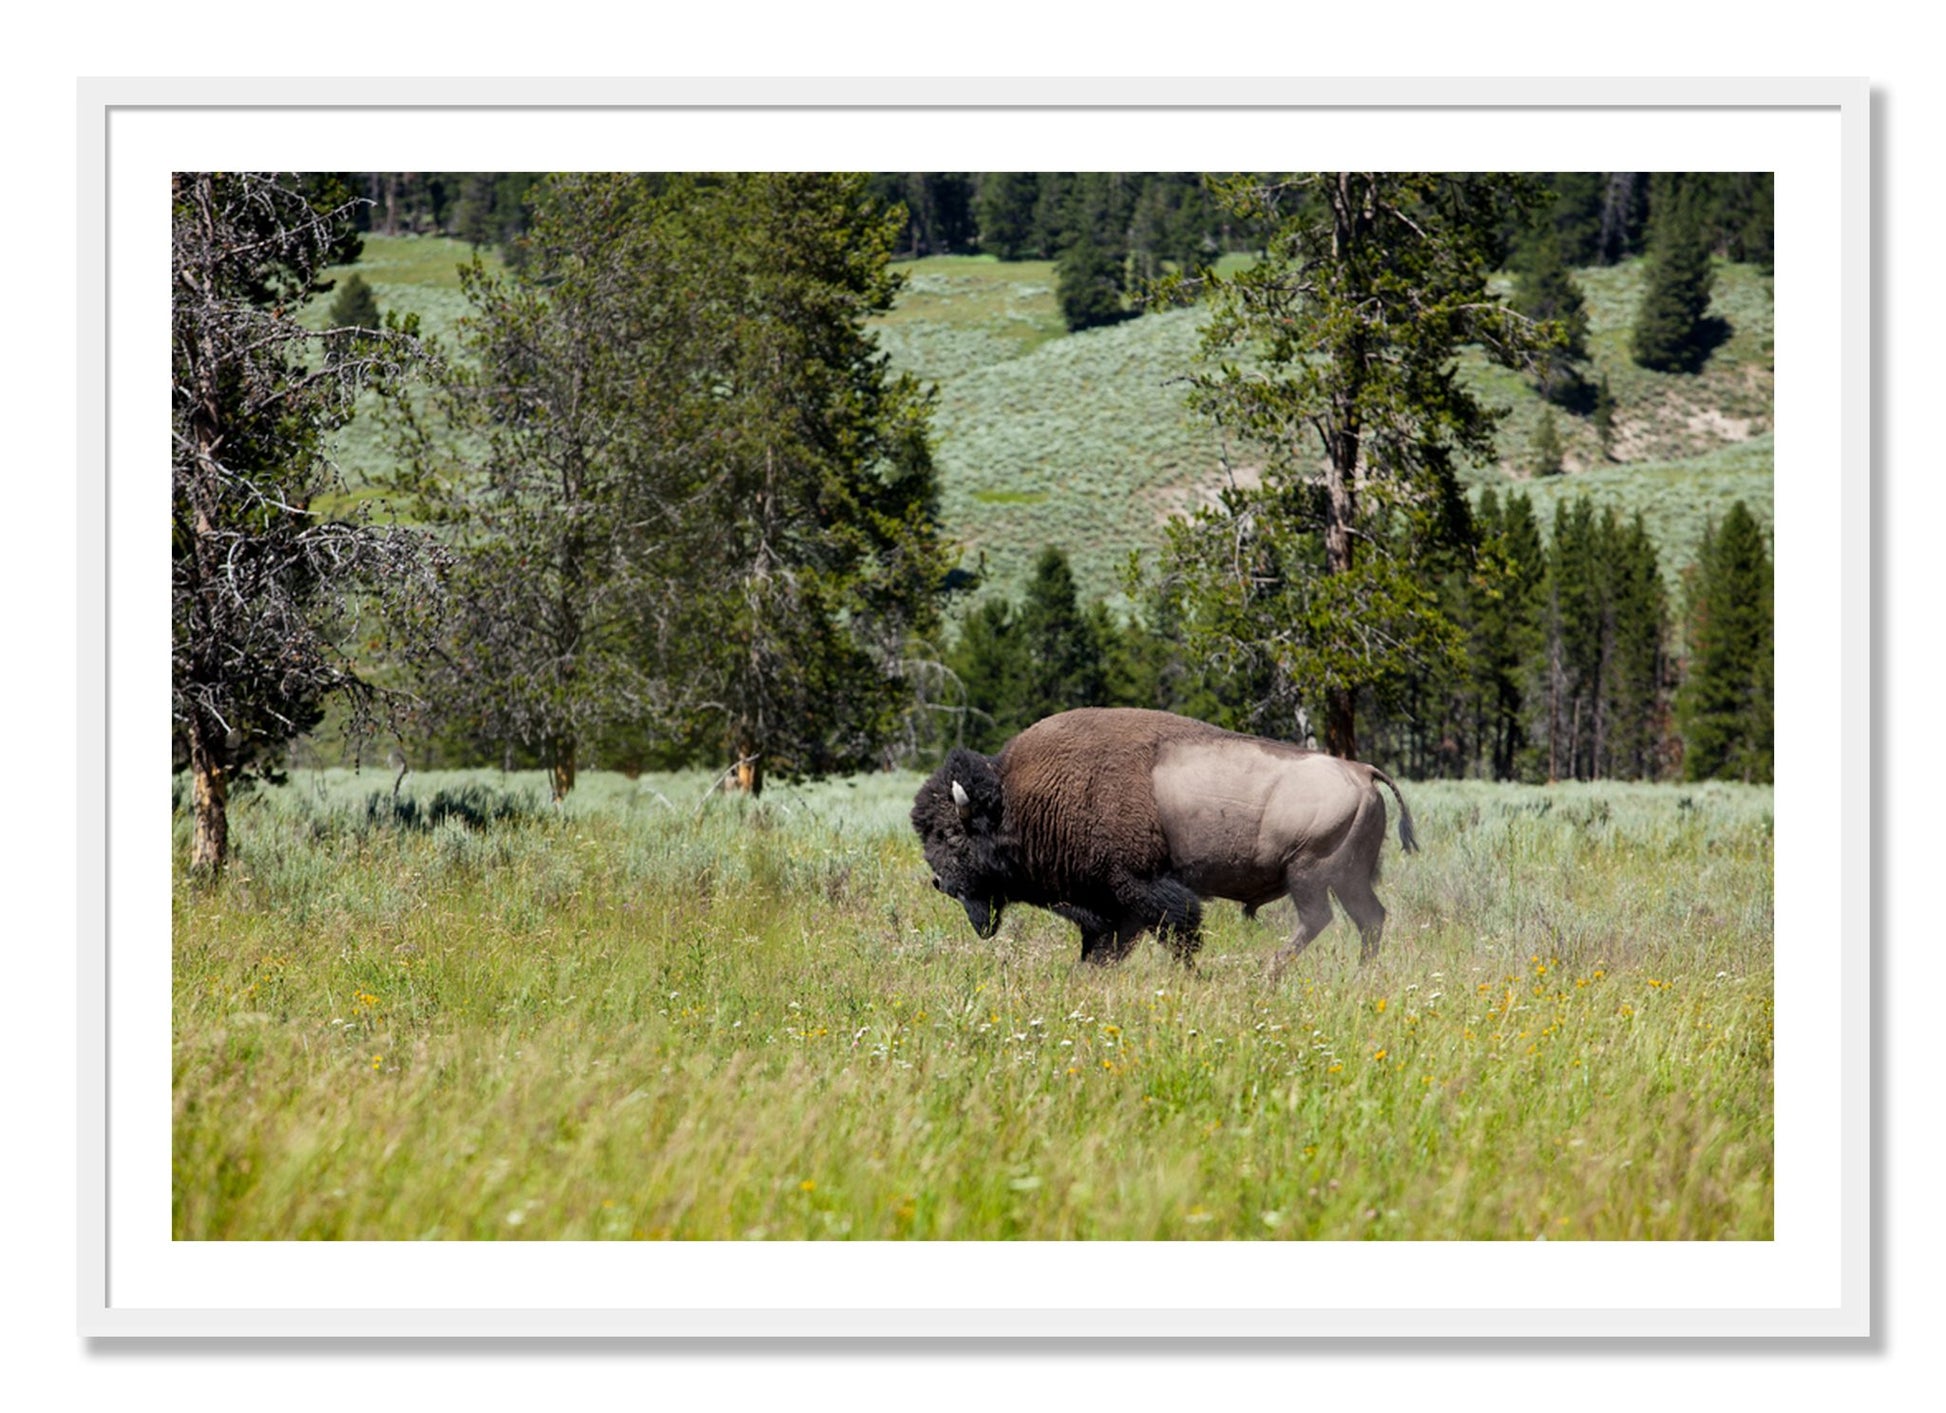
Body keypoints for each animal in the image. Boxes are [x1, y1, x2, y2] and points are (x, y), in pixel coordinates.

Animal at [911, 707, 1418, 970]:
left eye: (952, 835)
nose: (940, 883)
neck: (1018, 799)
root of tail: (1361, 771)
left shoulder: (1141, 889)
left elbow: (1178, 933)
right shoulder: (1110, 907)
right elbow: (1104, 948)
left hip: (1309, 874)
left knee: (1319, 920)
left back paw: (1268, 973)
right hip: (1347, 879)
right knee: (1369, 919)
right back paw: (1359, 974)